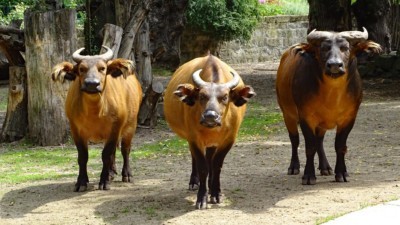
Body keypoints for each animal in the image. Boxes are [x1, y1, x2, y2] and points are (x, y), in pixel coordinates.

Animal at [51, 46, 142, 192]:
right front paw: (81, 181)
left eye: (102, 68)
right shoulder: (75, 130)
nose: (92, 84)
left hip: (131, 125)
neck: (94, 111)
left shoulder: (115, 128)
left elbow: (106, 154)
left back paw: (126, 174)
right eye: (81, 69)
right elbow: (83, 156)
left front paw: (104, 181)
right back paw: (111, 172)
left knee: (125, 149)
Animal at [276, 27, 382, 185]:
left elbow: (340, 146)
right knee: (294, 140)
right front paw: (308, 175)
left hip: (322, 123)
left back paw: (325, 167)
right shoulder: (305, 117)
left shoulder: (349, 118)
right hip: (287, 114)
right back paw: (294, 167)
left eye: (345, 48)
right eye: (324, 48)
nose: (334, 65)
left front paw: (341, 173)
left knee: (319, 141)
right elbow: (310, 146)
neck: (332, 95)